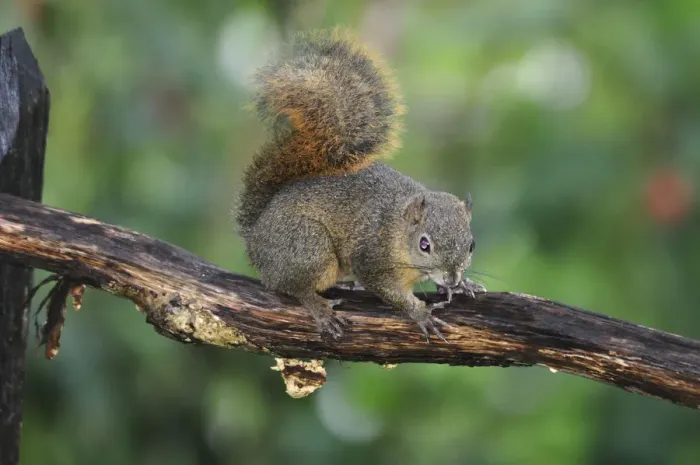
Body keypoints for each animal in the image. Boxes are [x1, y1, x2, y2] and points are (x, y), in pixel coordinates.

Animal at [236, 29, 483, 342]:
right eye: (424, 244)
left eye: (472, 244)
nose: (451, 278)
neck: (397, 228)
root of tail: (254, 236)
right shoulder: (371, 258)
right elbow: (390, 292)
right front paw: (421, 314)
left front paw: (464, 285)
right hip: (308, 246)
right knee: (292, 286)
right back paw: (319, 307)